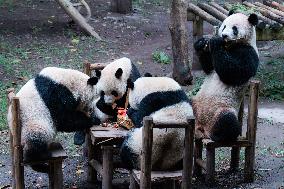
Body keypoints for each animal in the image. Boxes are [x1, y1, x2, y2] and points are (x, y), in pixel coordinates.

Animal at [193, 11, 260, 142]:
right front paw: (201, 43)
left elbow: (233, 72)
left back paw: (218, 136)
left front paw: (215, 42)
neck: (230, 46)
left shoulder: (249, 53)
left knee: (228, 122)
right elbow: (209, 67)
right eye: (224, 26)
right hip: (195, 102)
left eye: (234, 29)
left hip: (221, 109)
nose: (224, 35)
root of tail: (202, 127)